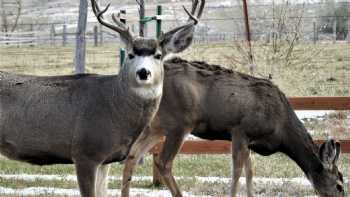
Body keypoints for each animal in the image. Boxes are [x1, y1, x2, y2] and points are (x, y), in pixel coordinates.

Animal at [0, 0, 200, 195]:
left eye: (158, 55)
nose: (143, 72)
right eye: (130, 54)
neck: (114, 106)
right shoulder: (85, 153)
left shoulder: (106, 160)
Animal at [121, 58, 344, 197]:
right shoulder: (240, 130)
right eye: (340, 185)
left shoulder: (250, 140)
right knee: (163, 162)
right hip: (179, 123)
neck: (281, 129)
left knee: (132, 154)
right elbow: (237, 171)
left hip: (156, 126)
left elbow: (250, 171)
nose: (340, 191)